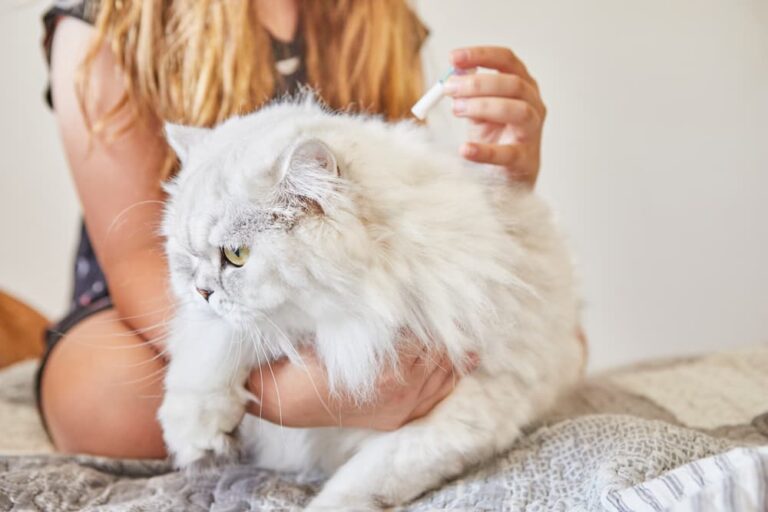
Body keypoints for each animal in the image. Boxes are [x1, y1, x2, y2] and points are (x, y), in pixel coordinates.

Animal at [160, 98, 584, 510]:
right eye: (185, 255)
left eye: (236, 255)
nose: (200, 291)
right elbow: (214, 344)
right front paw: (196, 436)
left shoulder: (473, 408)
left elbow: (364, 480)